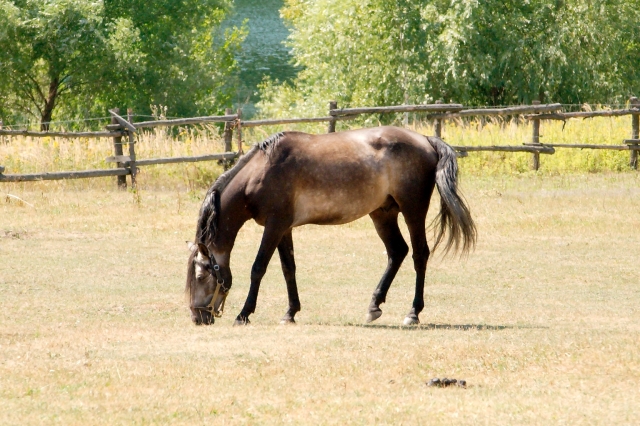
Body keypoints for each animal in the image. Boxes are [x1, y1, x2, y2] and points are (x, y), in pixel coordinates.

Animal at [185, 126, 476, 326]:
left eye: (200, 276)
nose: (198, 317)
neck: (261, 171)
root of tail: (425, 139)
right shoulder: (284, 228)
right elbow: (288, 269)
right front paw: (290, 313)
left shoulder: (274, 226)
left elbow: (258, 268)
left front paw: (244, 314)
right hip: (383, 214)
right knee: (397, 252)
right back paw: (373, 306)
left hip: (413, 210)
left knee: (419, 254)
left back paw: (413, 313)